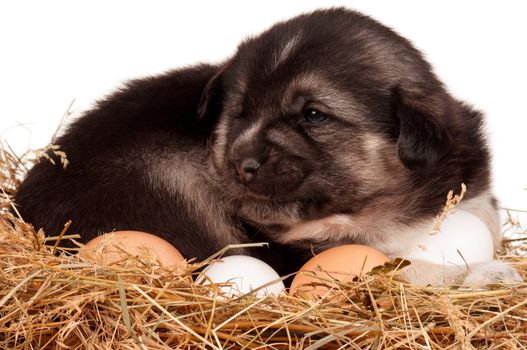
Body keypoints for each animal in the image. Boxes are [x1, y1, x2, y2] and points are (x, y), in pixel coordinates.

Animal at [14, 8, 520, 288]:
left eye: (313, 115)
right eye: (239, 113)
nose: (242, 166)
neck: (371, 209)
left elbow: (485, 218)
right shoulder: (295, 255)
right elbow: (394, 267)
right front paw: (477, 274)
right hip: (173, 183)